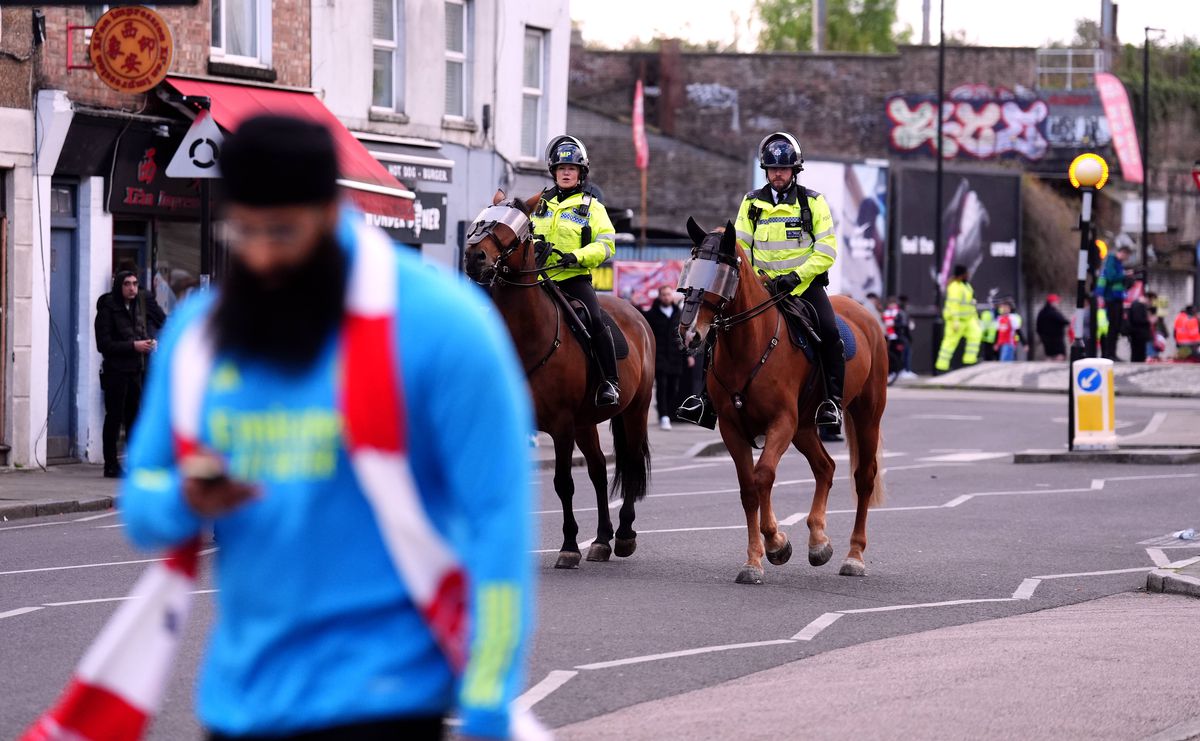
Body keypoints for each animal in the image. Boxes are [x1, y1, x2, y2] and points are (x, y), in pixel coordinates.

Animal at [460, 189, 657, 565]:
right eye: (480, 219)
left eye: (512, 229)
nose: (474, 256)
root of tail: (637, 315)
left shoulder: (562, 424)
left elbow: (563, 482)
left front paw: (568, 546)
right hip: (587, 422)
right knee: (598, 470)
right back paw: (601, 539)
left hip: (634, 411)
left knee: (630, 461)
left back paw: (624, 534)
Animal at [681, 218, 888, 582]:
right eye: (691, 268)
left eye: (720, 272)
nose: (688, 332)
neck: (749, 346)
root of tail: (865, 314)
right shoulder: (733, 428)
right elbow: (749, 487)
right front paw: (754, 560)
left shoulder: (781, 422)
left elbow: (763, 475)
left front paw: (776, 544)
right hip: (805, 427)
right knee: (826, 467)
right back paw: (818, 541)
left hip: (866, 416)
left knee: (864, 477)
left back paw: (854, 556)